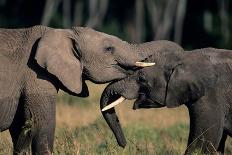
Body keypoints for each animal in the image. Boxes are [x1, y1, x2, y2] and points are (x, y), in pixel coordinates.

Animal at [0, 24, 183, 154]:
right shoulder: (36, 76)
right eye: (109, 49)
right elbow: (42, 127)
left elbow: (21, 130)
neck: (61, 33)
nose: (124, 145)